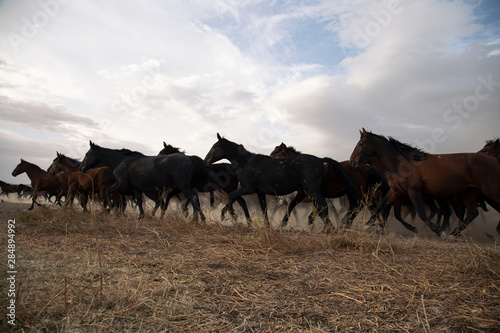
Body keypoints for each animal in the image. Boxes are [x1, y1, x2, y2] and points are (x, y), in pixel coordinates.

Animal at [203, 134, 360, 230]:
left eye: (215, 146)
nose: (205, 161)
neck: (246, 163)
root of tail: (321, 161)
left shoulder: (247, 188)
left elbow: (232, 197)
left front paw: (227, 215)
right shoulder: (260, 193)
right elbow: (264, 210)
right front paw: (267, 226)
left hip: (313, 191)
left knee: (324, 207)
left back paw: (329, 228)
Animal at [350, 127, 500, 236]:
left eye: (361, 144)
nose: (351, 161)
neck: (401, 165)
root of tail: (494, 161)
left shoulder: (414, 191)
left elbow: (421, 213)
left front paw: (438, 231)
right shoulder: (396, 191)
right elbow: (380, 207)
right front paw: (369, 226)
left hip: (488, 192)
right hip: (469, 193)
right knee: (472, 213)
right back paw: (454, 234)